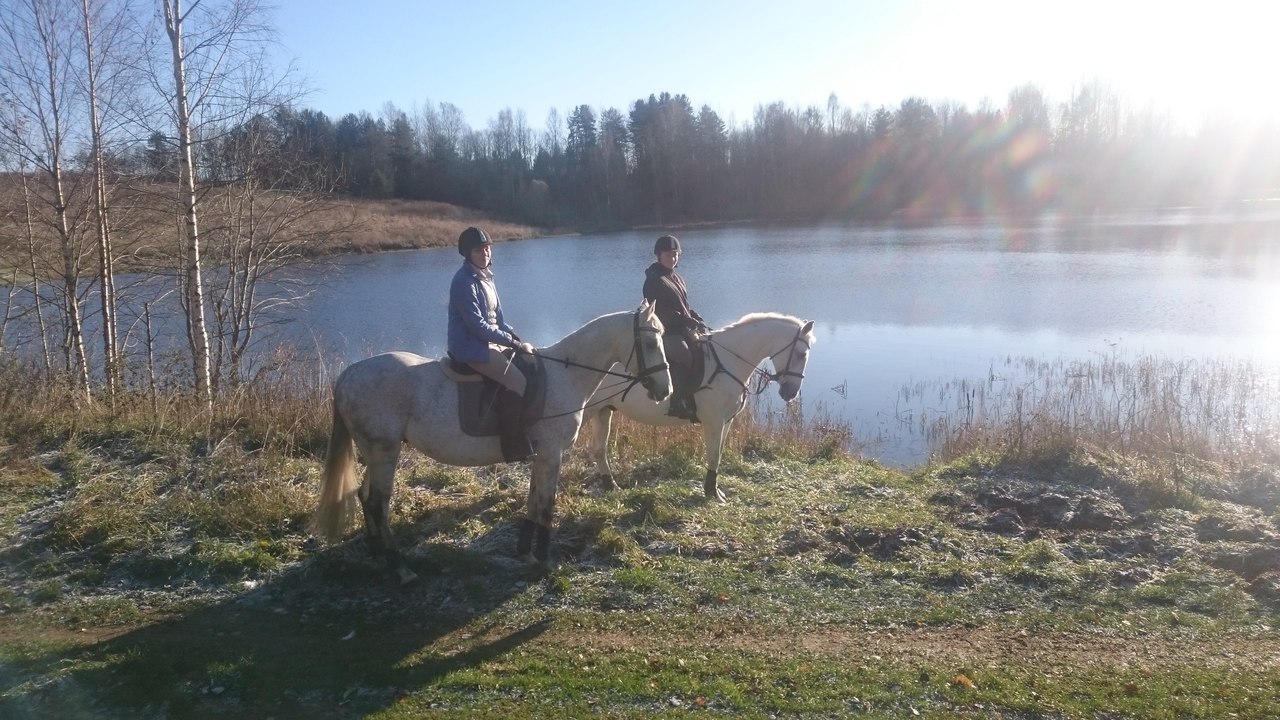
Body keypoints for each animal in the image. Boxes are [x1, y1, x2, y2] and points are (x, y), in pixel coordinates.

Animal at [314, 301, 671, 585]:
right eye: (651, 341)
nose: (665, 390)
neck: (564, 376)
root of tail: (347, 375)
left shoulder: (541, 455)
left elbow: (532, 502)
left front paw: (525, 553)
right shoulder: (551, 454)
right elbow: (546, 505)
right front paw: (544, 561)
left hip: (374, 452)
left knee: (365, 496)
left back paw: (377, 553)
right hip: (384, 451)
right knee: (377, 503)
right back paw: (401, 569)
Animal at [583, 312, 815, 502]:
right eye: (802, 354)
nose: (791, 393)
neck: (728, 362)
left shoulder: (726, 421)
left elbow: (718, 453)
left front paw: (715, 490)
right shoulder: (714, 421)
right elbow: (713, 454)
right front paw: (712, 493)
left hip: (603, 412)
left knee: (599, 449)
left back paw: (611, 486)